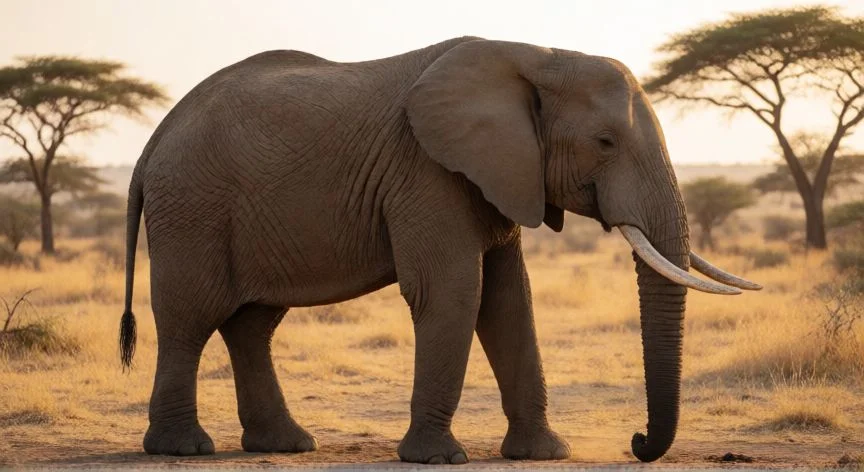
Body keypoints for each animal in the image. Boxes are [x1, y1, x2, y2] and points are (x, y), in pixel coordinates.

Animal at [119, 37, 761, 463]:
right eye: (604, 143)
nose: (637, 442)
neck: (535, 56)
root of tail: (152, 141)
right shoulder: (426, 170)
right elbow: (454, 292)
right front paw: (436, 458)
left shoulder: (498, 173)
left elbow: (509, 301)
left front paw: (543, 454)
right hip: (193, 206)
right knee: (190, 317)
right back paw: (184, 448)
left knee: (252, 324)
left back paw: (286, 445)